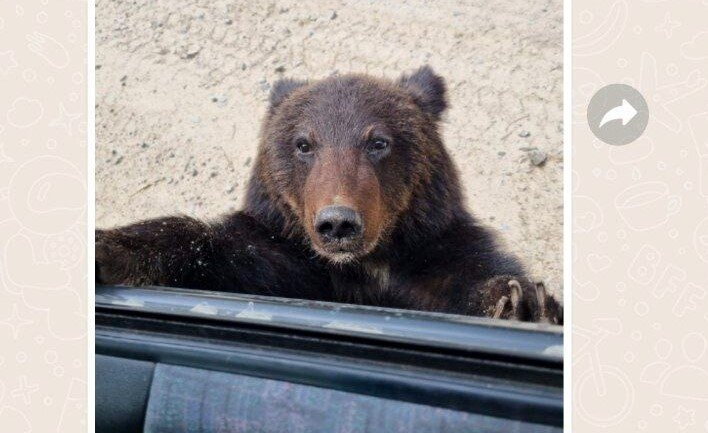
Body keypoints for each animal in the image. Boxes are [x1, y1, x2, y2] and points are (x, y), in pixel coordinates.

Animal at [97, 66, 564, 322]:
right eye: (304, 143)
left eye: (378, 141)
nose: (338, 222)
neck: (362, 266)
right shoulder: (285, 261)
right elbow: (211, 250)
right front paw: (110, 247)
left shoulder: (433, 258)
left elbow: (479, 275)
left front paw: (525, 303)